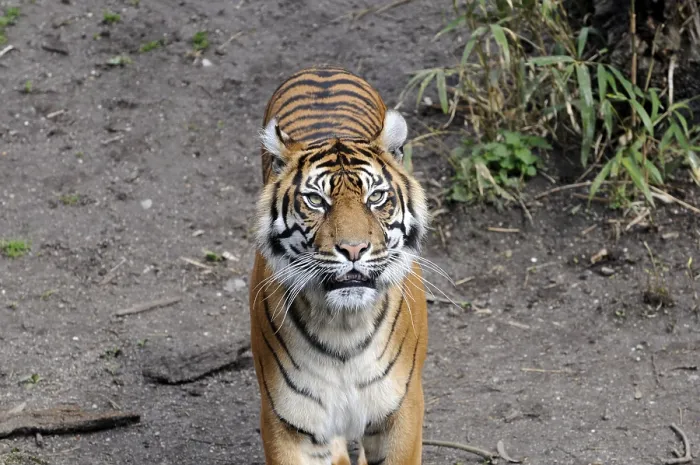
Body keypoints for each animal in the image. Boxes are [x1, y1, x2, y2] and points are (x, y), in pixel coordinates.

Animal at [249, 66, 429, 465]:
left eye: (375, 197)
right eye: (316, 201)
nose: (354, 248)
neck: (344, 326)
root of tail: (322, 70)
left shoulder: (400, 412)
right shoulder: (290, 423)